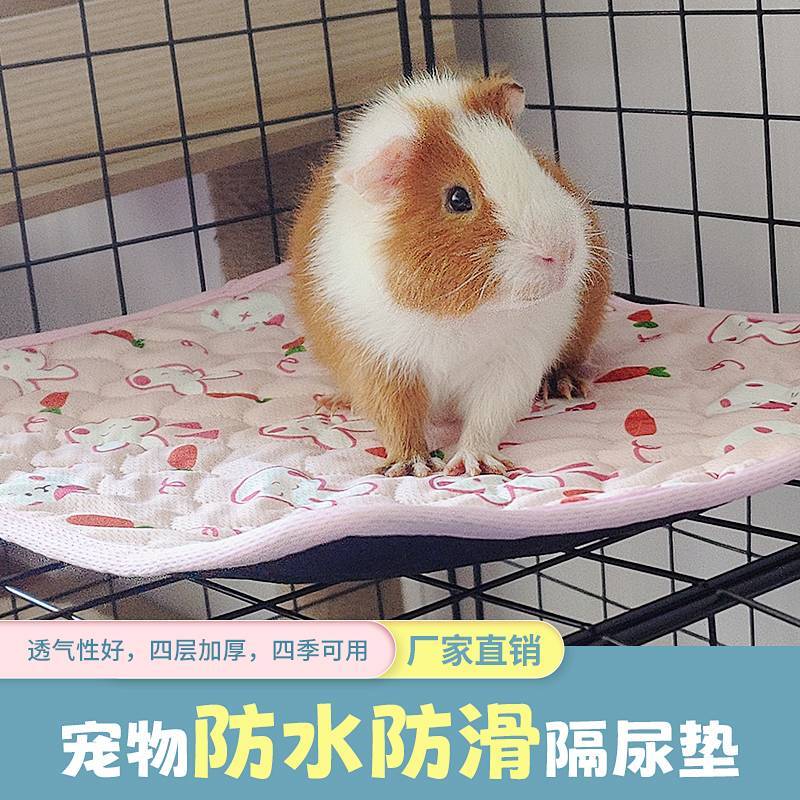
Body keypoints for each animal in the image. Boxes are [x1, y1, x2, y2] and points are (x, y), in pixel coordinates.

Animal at [289, 71, 610, 478]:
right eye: (458, 198)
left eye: (532, 164)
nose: (563, 251)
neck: (457, 314)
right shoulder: (378, 363)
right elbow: (397, 418)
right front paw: (411, 467)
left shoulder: (512, 363)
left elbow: (488, 416)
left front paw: (475, 465)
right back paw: (334, 402)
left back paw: (565, 386)